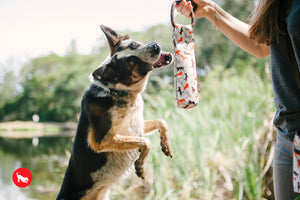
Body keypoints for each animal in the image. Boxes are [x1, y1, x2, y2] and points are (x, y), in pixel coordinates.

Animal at [56, 25, 173, 200]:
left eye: (134, 44)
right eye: (131, 62)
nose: (155, 46)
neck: (118, 91)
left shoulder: (137, 125)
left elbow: (162, 122)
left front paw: (166, 145)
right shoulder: (102, 140)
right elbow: (146, 142)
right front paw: (140, 166)